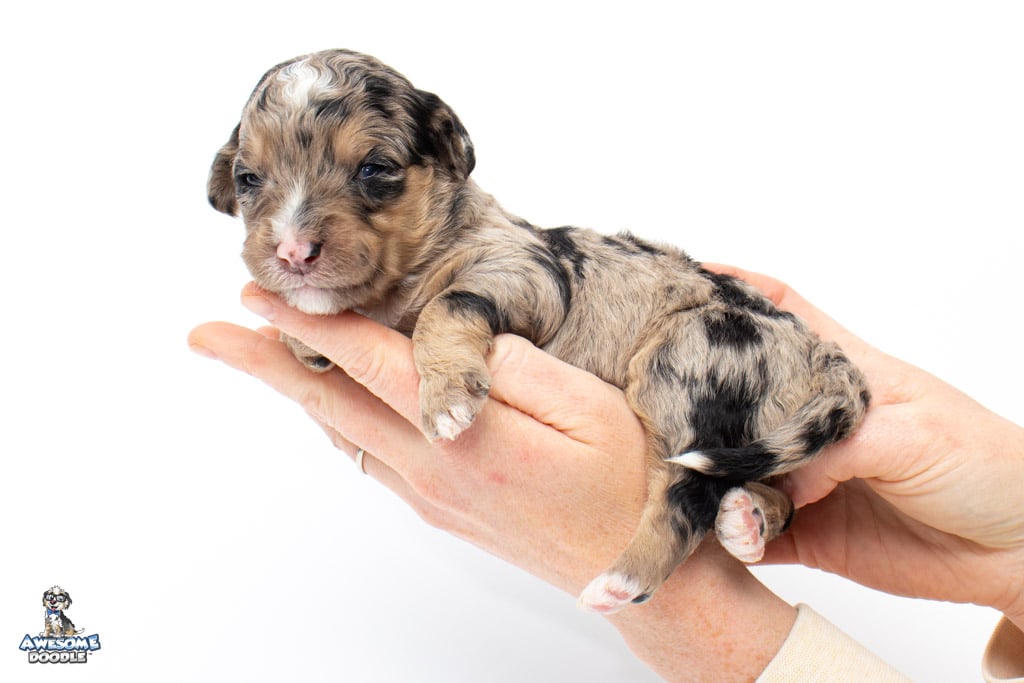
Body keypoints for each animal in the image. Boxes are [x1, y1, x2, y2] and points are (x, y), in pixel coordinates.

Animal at [208, 49, 869, 613]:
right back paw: (750, 521)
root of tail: (822, 355)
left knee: (686, 495)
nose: (292, 252)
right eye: (248, 179)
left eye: (374, 169)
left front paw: (447, 397)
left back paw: (623, 580)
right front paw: (307, 342)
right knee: (770, 487)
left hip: (688, 367)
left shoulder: (524, 271)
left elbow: (445, 306)